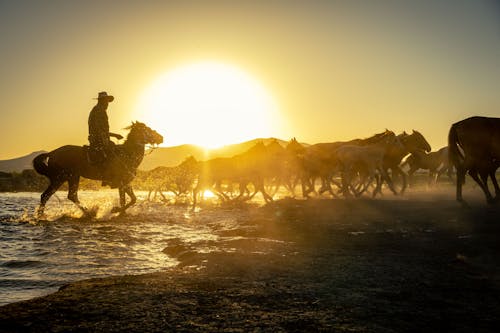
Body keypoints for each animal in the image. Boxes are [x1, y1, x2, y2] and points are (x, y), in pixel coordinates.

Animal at [31, 121, 164, 215]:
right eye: (147, 129)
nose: (161, 137)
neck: (127, 154)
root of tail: (52, 153)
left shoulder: (125, 183)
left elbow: (130, 200)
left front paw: (121, 212)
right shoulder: (122, 183)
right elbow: (128, 200)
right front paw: (115, 210)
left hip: (69, 177)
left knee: (62, 195)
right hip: (63, 177)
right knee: (51, 195)